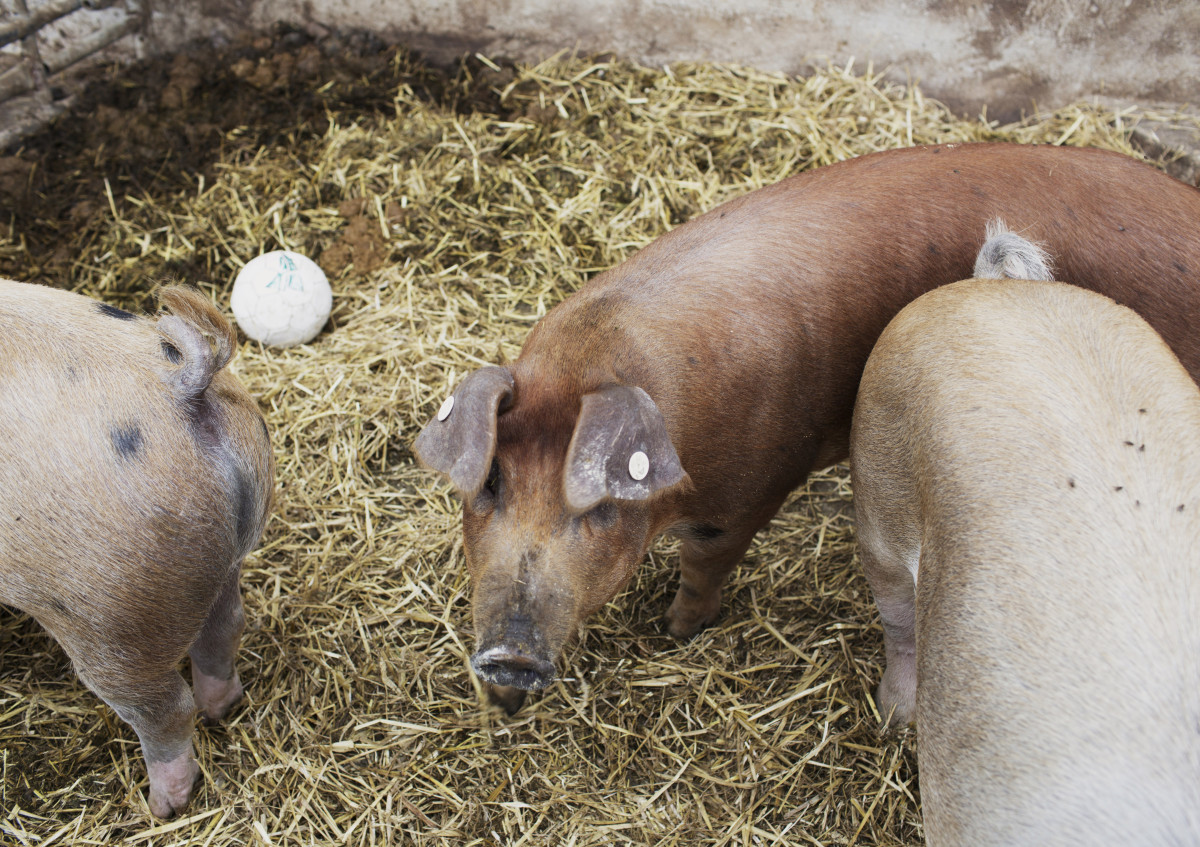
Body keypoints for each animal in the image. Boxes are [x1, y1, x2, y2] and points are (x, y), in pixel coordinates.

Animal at [0, 280, 274, 815]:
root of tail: (180, 386)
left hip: (108, 616)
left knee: (166, 708)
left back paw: (161, 806)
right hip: (216, 562)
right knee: (226, 628)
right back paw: (221, 707)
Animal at [412, 141, 1200, 710]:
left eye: (601, 506)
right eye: (489, 483)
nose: (507, 659)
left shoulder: (750, 491)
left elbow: (705, 565)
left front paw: (674, 630)